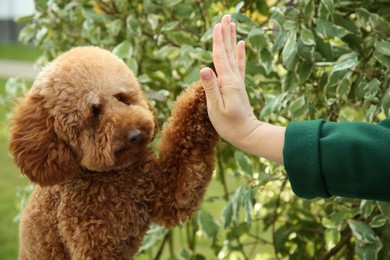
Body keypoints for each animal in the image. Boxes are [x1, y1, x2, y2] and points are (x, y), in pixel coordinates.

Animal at [9, 45, 218, 258]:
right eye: (94, 111)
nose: (135, 134)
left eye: (121, 97)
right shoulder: (95, 245)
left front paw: (205, 92)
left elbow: (186, 162)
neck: (115, 178)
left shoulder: (165, 190)